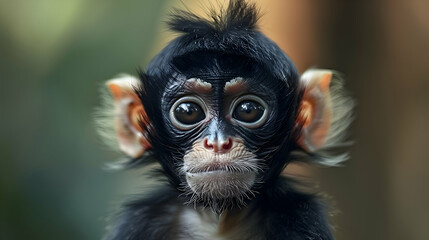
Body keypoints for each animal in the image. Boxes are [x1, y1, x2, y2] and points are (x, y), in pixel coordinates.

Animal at [95, 0, 352, 239]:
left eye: (248, 110)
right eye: (187, 111)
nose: (218, 142)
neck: (219, 221)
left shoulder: (301, 217)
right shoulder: (141, 220)